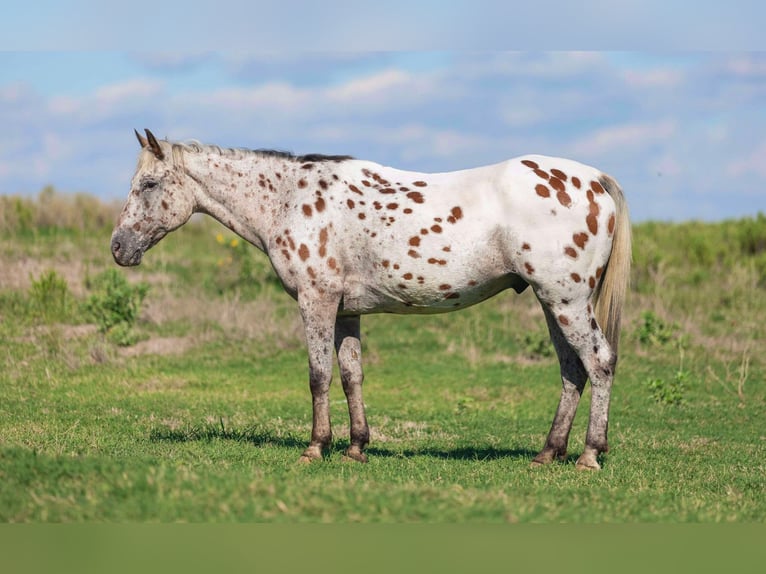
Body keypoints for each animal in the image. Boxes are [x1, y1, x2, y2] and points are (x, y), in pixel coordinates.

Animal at [112, 130, 632, 472]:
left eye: (148, 185)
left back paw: (589, 454)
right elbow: (350, 376)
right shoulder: (346, 311)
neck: (289, 199)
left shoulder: (317, 302)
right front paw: (356, 446)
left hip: (565, 300)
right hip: (551, 303)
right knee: (572, 369)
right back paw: (547, 453)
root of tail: (595, 180)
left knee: (600, 362)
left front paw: (316, 447)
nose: (119, 248)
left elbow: (318, 376)